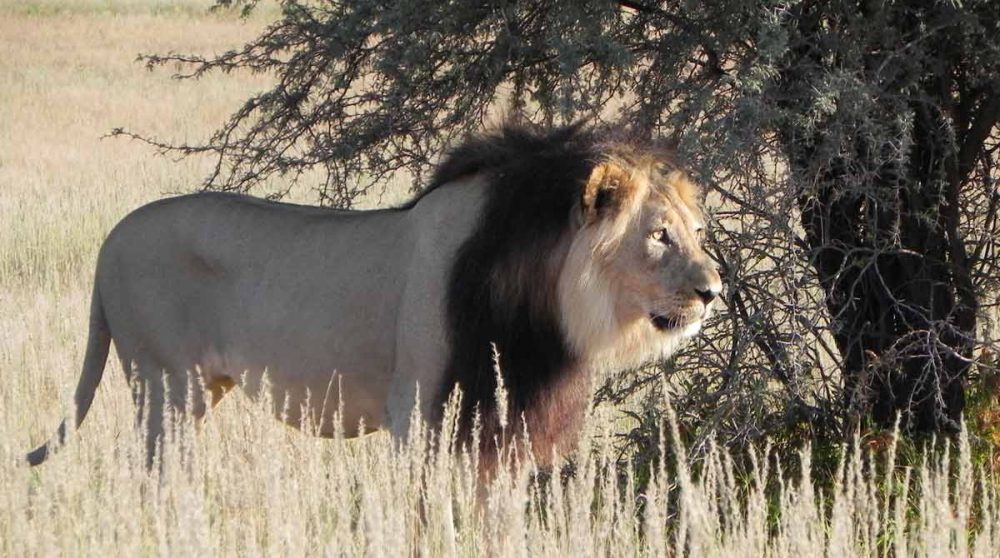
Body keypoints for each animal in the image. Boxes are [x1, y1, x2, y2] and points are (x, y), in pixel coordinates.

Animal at [26, 123, 721, 467]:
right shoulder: (421, 413)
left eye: (696, 231)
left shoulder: (502, 420)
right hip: (164, 384)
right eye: (658, 235)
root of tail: (110, 241)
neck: (547, 305)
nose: (713, 291)